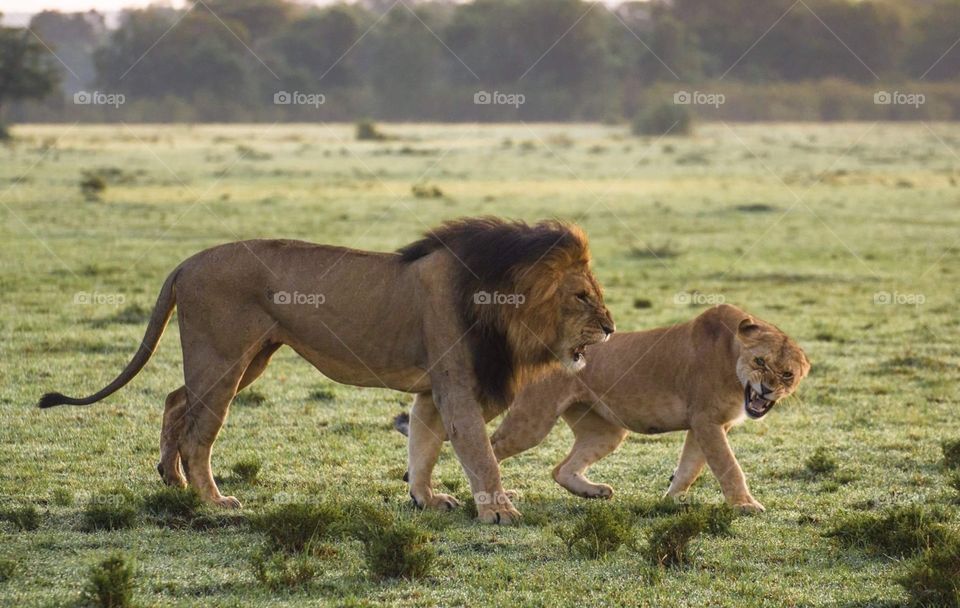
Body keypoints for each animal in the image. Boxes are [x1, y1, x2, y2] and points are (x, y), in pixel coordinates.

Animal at [38, 217, 615, 524]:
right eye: (582, 297)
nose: (611, 328)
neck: (500, 299)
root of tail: (185, 262)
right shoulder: (456, 385)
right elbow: (478, 451)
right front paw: (499, 512)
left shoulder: (433, 390)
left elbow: (424, 443)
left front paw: (426, 497)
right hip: (223, 357)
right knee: (199, 430)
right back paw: (214, 500)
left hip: (251, 357)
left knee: (175, 400)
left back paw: (170, 479)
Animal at [399, 304, 808, 512]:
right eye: (760, 362)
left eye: (788, 373)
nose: (769, 389)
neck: (734, 363)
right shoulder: (707, 421)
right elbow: (728, 467)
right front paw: (746, 505)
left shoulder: (704, 425)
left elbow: (690, 468)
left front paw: (670, 501)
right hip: (533, 421)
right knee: (488, 449)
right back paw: (492, 497)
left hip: (607, 430)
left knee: (561, 468)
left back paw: (592, 492)